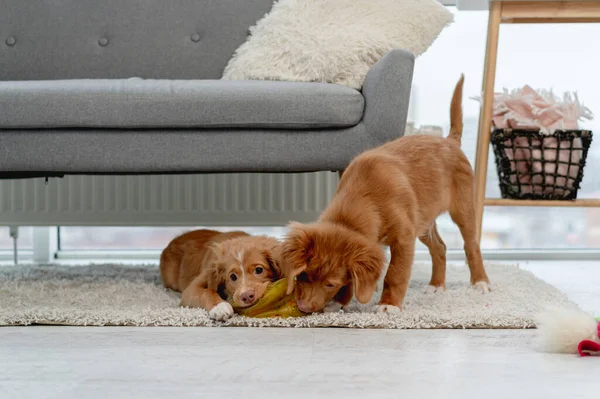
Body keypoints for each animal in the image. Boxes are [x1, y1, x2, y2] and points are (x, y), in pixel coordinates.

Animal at [282, 76, 488, 316]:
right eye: (304, 275)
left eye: (330, 284)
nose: (304, 307)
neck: (364, 197)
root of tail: (449, 141)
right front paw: (339, 302)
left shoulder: (404, 237)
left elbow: (395, 273)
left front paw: (389, 304)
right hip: (423, 219)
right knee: (440, 247)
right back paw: (437, 285)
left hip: (462, 209)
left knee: (471, 245)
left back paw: (480, 282)